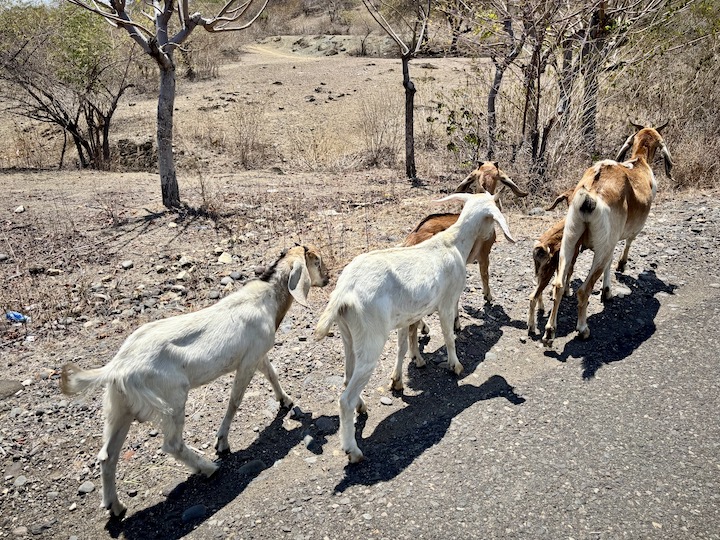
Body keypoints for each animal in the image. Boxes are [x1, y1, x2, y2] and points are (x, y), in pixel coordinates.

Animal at [60, 245, 329, 516]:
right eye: (316, 261)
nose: (327, 278)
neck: (266, 299)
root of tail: (117, 367)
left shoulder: (256, 355)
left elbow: (272, 373)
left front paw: (286, 400)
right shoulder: (248, 361)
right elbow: (235, 400)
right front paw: (222, 443)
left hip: (120, 406)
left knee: (108, 455)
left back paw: (115, 506)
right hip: (172, 398)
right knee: (171, 444)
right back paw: (208, 468)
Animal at [314, 193, 515, 463]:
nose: (491, 238)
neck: (451, 243)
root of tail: (343, 292)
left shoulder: (405, 317)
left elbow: (402, 347)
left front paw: (399, 380)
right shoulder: (446, 302)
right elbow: (449, 336)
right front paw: (455, 366)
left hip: (349, 336)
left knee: (347, 377)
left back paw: (361, 407)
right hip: (371, 338)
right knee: (345, 399)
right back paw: (353, 450)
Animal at [541, 124, 673, 346]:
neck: (640, 162)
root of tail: (591, 193)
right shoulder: (618, 237)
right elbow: (624, 247)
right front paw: (612, 283)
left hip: (570, 238)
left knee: (558, 285)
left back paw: (550, 331)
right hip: (602, 246)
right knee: (584, 289)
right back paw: (583, 329)